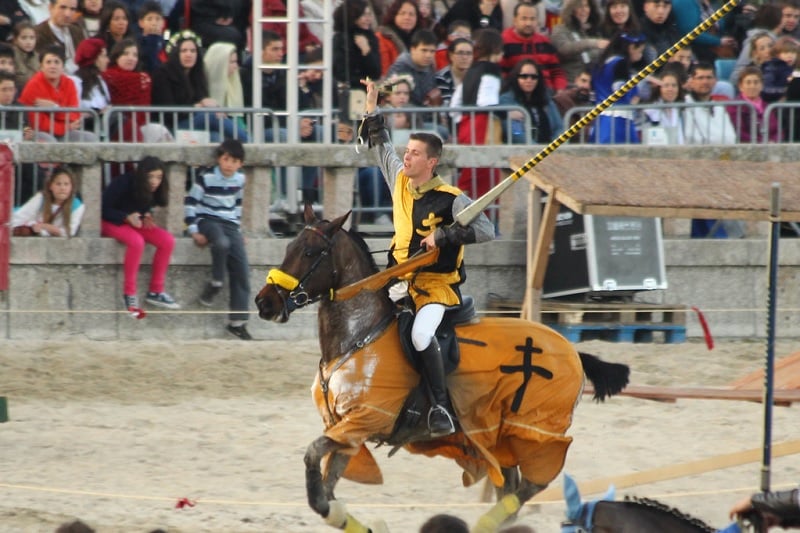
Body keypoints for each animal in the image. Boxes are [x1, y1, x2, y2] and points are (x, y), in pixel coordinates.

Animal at [256, 205, 632, 532]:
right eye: (288, 246)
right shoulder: (346, 432)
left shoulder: (363, 421)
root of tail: (570, 350)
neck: (359, 335)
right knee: (510, 487)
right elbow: (325, 492)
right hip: (497, 436)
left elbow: (312, 463)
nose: (264, 303)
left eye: (310, 252)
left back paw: (486, 522)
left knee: (534, 483)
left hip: (535, 432)